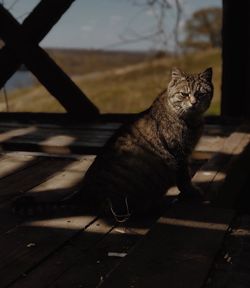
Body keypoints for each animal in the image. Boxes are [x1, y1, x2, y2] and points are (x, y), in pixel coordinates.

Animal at [13, 67, 213, 220]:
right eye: (184, 94)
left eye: (201, 93)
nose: (194, 102)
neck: (190, 119)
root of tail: (84, 193)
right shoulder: (179, 155)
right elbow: (184, 179)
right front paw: (192, 193)